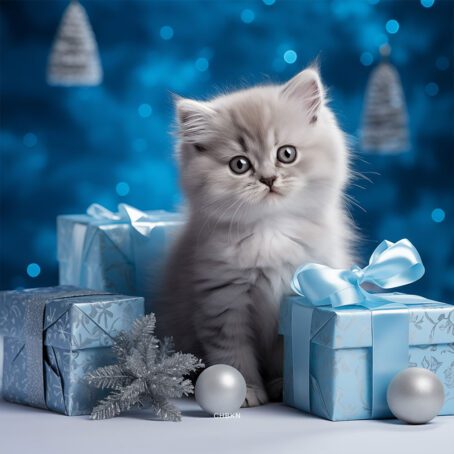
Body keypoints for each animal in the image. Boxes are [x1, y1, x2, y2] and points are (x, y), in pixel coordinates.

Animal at [158, 67, 356, 408]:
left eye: (286, 154)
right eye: (240, 164)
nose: (268, 179)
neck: (271, 230)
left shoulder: (291, 301)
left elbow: (284, 354)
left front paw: (282, 386)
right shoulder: (222, 300)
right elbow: (233, 354)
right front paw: (244, 389)